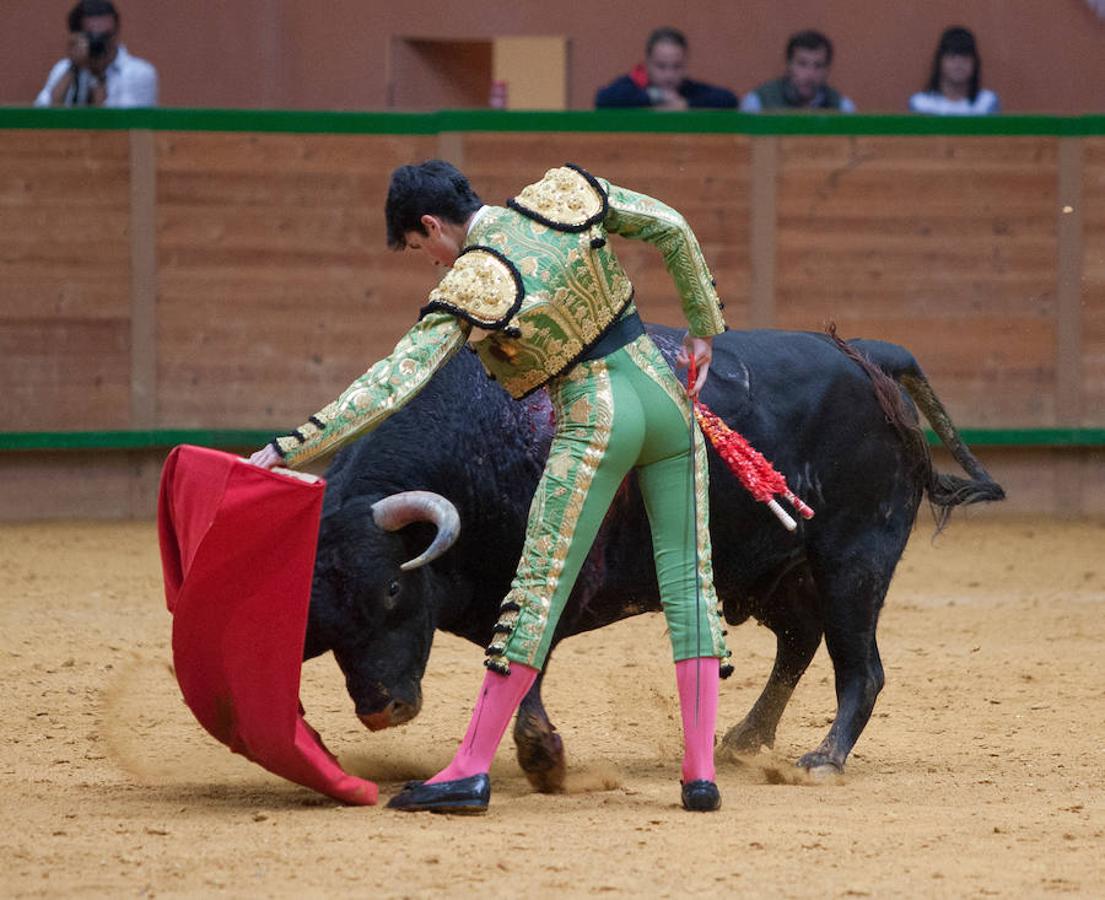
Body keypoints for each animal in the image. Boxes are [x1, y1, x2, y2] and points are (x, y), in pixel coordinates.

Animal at [300, 329, 1003, 787]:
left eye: (392, 589)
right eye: (323, 616)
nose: (382, 709)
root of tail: (869, 356)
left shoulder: (557, 576)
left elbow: (527, 661)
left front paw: (545, 761)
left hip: (854, 561)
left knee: (861, 667)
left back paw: (822, 759)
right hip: (773, 574)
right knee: (800, 641)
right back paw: (744, 740)